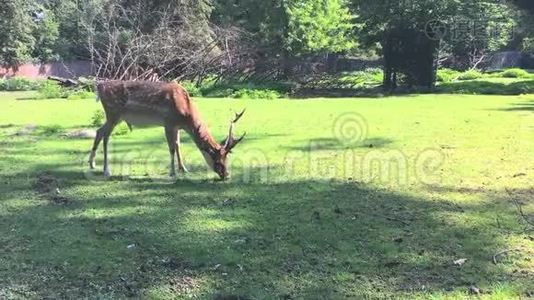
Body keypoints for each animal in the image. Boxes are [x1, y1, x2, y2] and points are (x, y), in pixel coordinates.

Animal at [88, 80, 247, 180]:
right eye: (218, 161)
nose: (227, 175)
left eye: (227, 158)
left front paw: (184, 169)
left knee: (99, 131)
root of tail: (99, 87)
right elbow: (171, 148)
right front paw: (173, 173)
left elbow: (178, 145)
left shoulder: (177, 126)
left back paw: (92, 164)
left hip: (115, 117)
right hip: (113, 114)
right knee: (105, 134)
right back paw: (106, 170)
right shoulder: (168, 123)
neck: (186, 112)